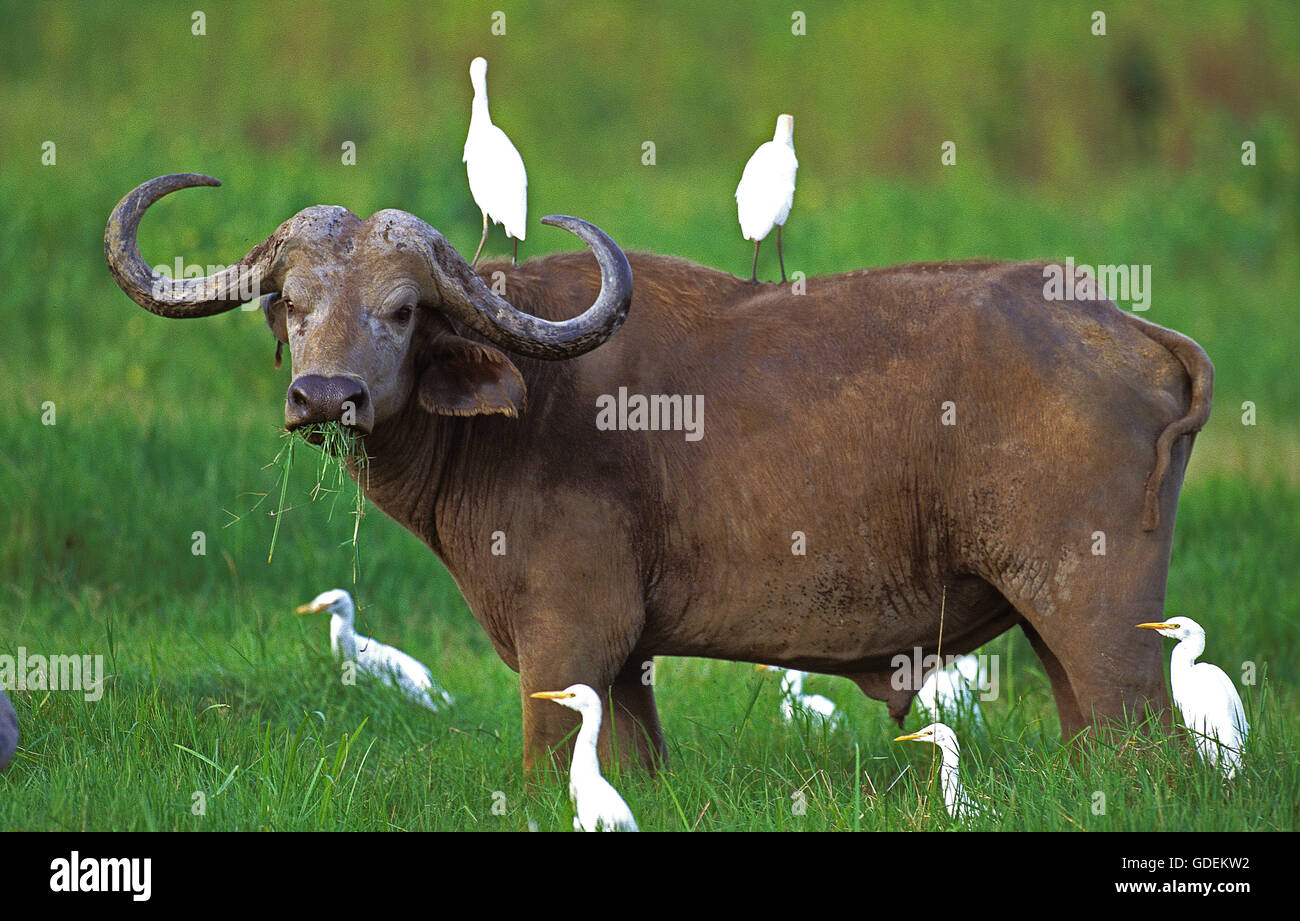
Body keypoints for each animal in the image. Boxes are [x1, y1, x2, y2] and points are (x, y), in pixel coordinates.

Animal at [106, 176, 1211, 775]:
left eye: (403, 310)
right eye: (290, 304)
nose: (326, 395)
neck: (522, 409)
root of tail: (1122, 322)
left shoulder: (566, 642)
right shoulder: (627, 662)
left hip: (1103, 627)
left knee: (1151, 742)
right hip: (1050, 633)